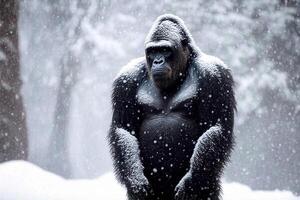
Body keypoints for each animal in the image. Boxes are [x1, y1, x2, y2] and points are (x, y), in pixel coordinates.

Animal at [109, 14, 236, 200]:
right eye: (153, 51)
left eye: (165, 50)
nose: (157, 61)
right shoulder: (125, 80)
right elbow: (124, 129)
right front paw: (135, 178)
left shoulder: (215, 75)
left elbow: (215, 126)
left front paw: (190, 181)